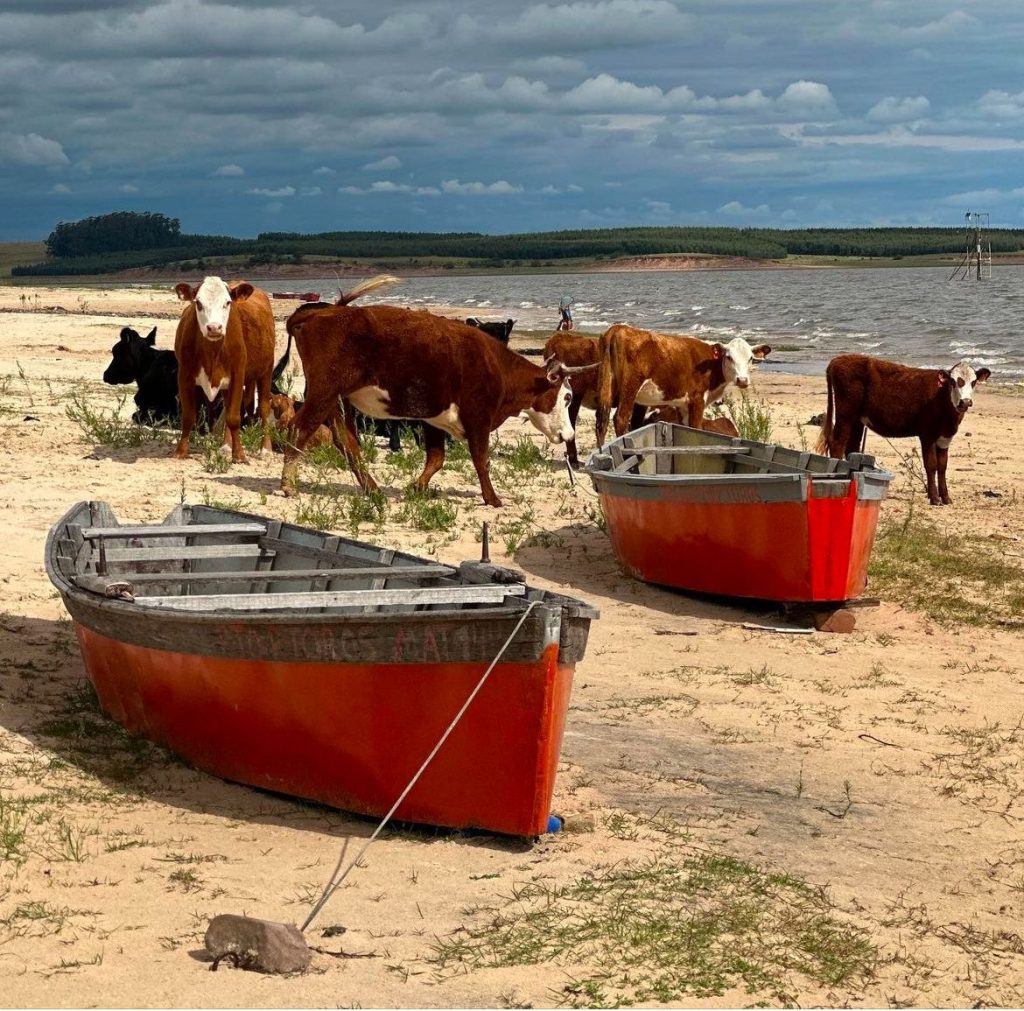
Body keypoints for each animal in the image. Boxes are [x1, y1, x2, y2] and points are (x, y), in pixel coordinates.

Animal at [172, 278, 276, 465]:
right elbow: (188, 416)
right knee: (228, 407)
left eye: (227, 303)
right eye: (198, 303)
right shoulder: (184, 375)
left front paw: (239, 455)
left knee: (264, 407)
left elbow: (234, 417)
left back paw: (265, 449)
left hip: (266, 370)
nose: (214, 327)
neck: (212, 353)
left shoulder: (238, 375)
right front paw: (181, 451)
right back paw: (226, 446)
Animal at [280, 278, 589, 506]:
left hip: (338, 400)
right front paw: (492, 499)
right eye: (566, 397)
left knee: (346, 441)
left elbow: (437, 459)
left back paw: (372, 489)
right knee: (299, 428)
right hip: (323, 392)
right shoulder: (478, 417)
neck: (496, 366)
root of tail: (320, 311)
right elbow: (481, 460)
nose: (569, 434)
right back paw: (288, 484)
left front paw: (417, 487)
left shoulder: (434, 418)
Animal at [593, 325, 770, 444]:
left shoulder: (682, 404)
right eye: (729, 357)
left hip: (607, 384)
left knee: (601, 421)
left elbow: (686, 428)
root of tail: (618, 328)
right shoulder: (697, 399)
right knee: (620, 418)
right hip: (630, 387)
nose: (742, 380)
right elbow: (696, 428)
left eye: (751, 358)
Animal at [815, 354, 991, 506]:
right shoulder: (927, 435)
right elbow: (931, 465)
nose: (965, 402)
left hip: (857, 419)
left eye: (973, 382)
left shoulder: (945, 437)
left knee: (852, 447)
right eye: (954, 382)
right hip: (846, 412)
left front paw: (946, 497)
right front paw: (934, 498)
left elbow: (942, 466)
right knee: (837, 443)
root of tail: (839, 359)